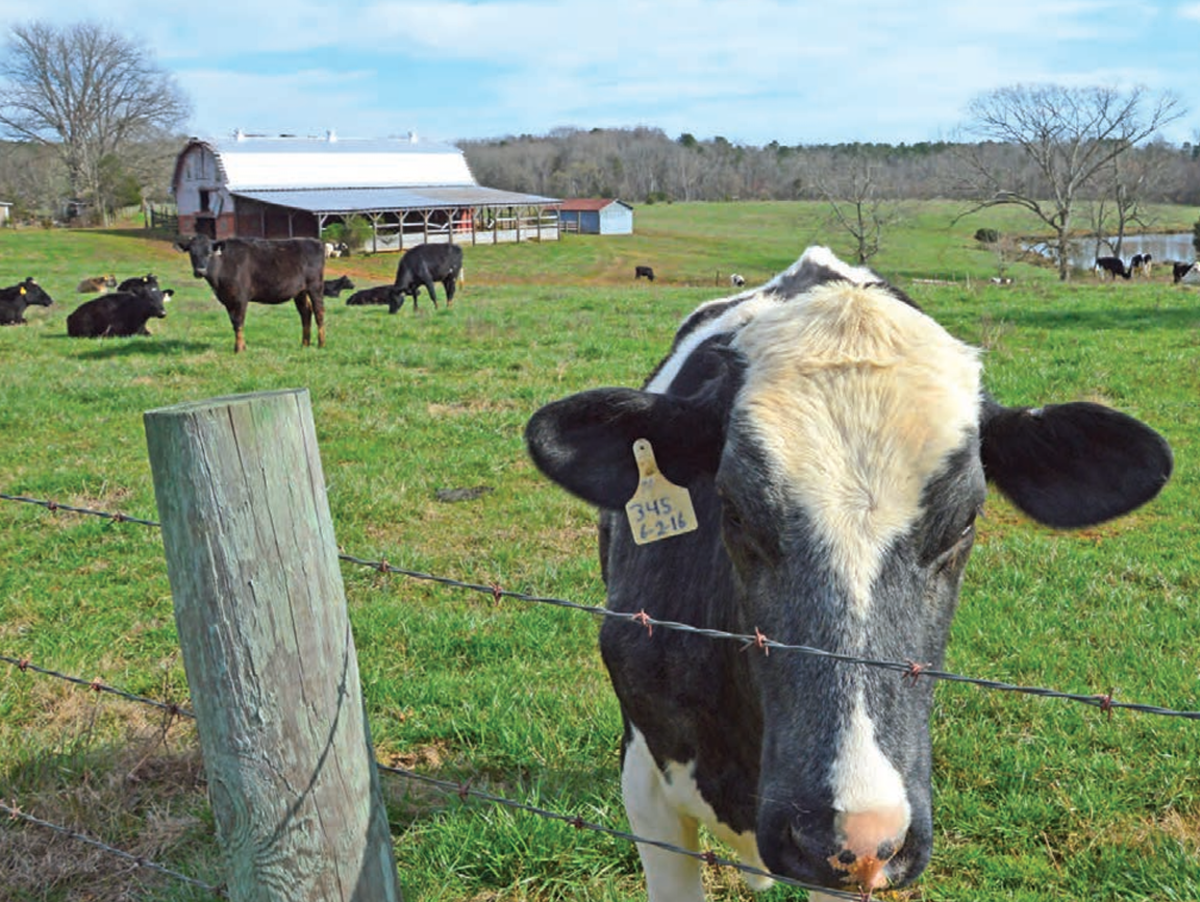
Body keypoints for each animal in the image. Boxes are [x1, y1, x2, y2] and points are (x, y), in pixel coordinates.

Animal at [172, 233, 324, 355]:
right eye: (192, 253)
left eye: (209, 253)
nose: (200, 271)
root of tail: (315, 241)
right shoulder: (228, 299)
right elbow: (234, 323)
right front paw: (242, 347)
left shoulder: (240, 297)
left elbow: (239, 322)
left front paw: (239, 349)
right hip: (300, 292)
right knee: (306, 313)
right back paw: (305, 344)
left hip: (315, 286)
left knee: (319, 312)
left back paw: (321, 344)